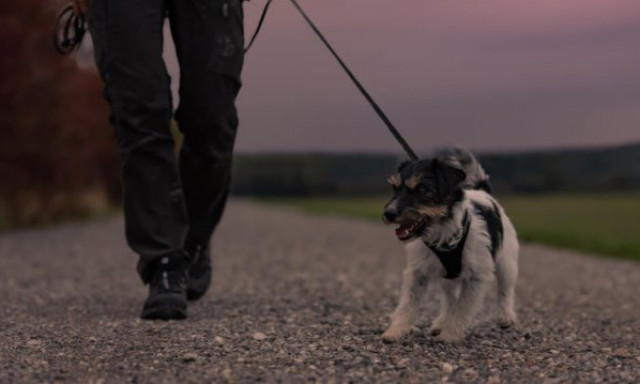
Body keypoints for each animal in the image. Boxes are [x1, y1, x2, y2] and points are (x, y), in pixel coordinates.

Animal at [382, 147, 516, 342]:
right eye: (395, 188)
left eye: (421, 189)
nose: (388, 214)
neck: (442, 234)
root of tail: (483, 191)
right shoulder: (417, 272)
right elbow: (408, 303)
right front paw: (396, 330)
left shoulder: (476, 276)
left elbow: (463, 307)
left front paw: (451, 335)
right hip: (447, 277)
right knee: (449, 300)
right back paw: (440, 323)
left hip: (506, 263)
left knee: (505, 290)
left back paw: (506, 317)